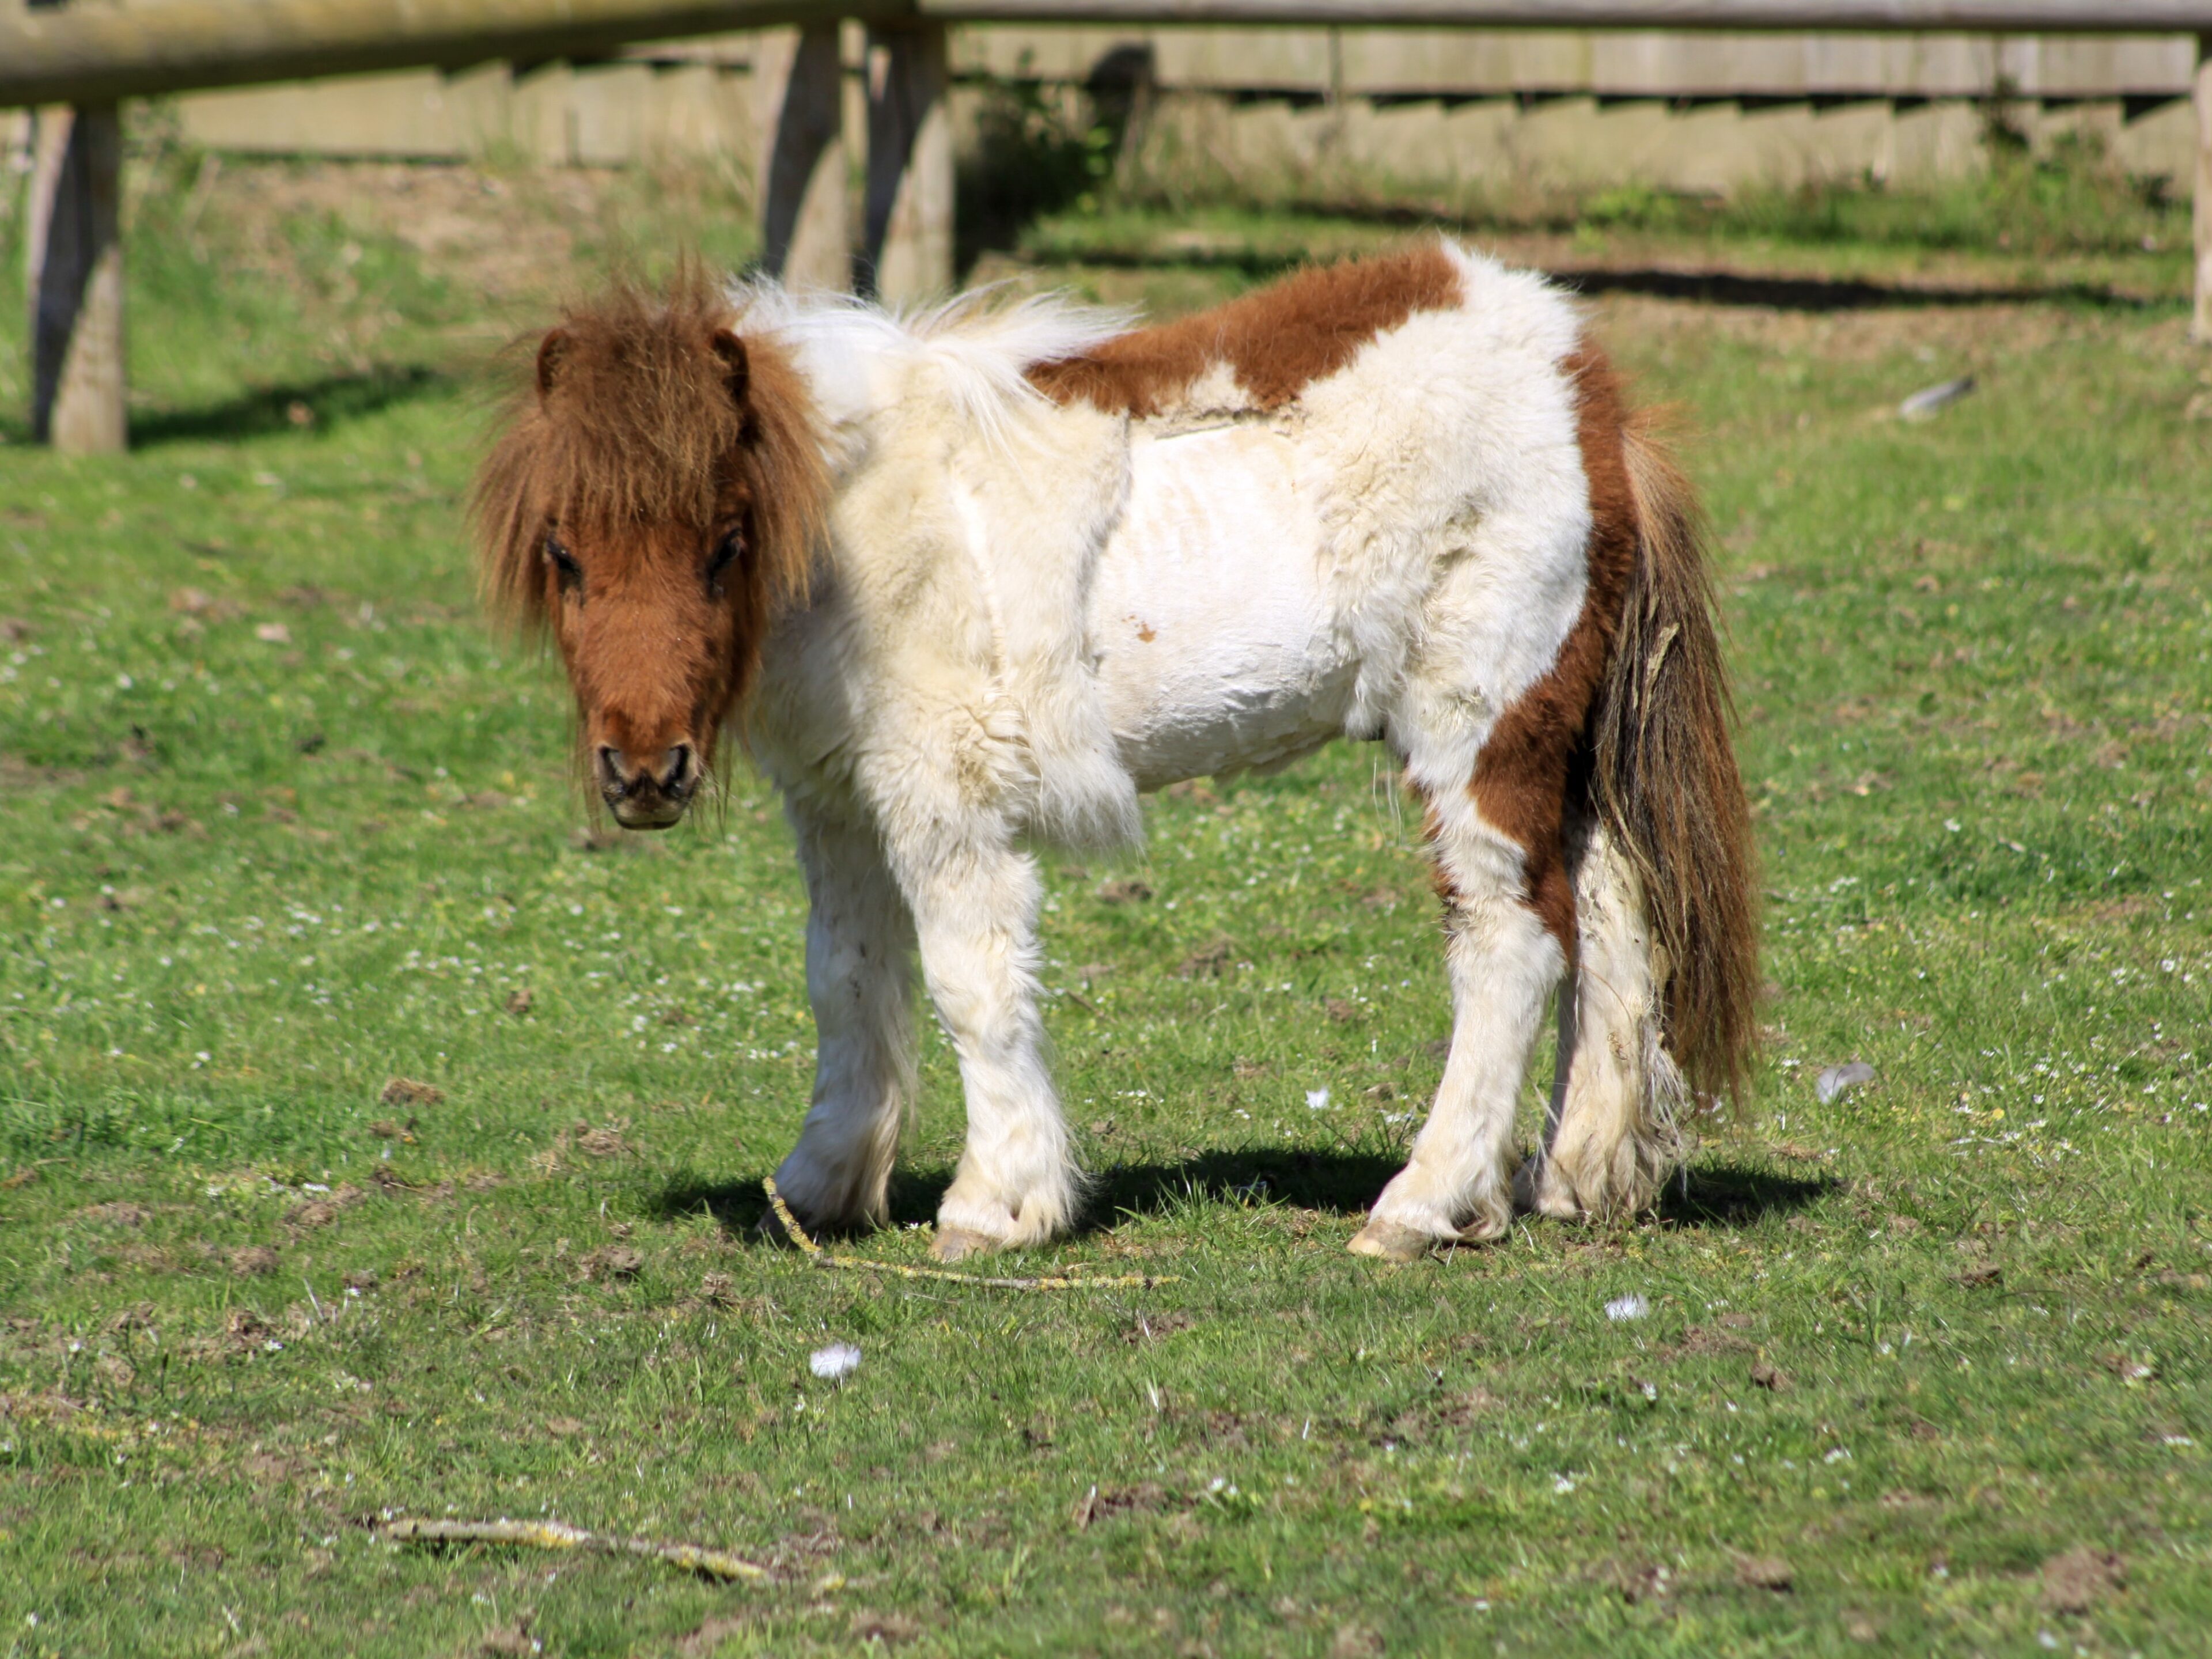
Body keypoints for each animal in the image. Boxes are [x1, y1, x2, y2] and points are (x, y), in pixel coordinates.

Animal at [474, 241, 1757, 1262]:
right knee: (1611, 921)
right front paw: (819, 1190)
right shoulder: (837, 803)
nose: (644, 772)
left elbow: (972, 984)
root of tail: (1590, 398)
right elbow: (846, 980)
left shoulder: (947, 801)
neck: (858, 530)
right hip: (1561, 750)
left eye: (728, 543)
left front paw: (996, 1209)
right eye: (563, 553)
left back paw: (1423, 1205)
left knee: (1510, 942)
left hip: (1478, 737)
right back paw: (1572, 1182)